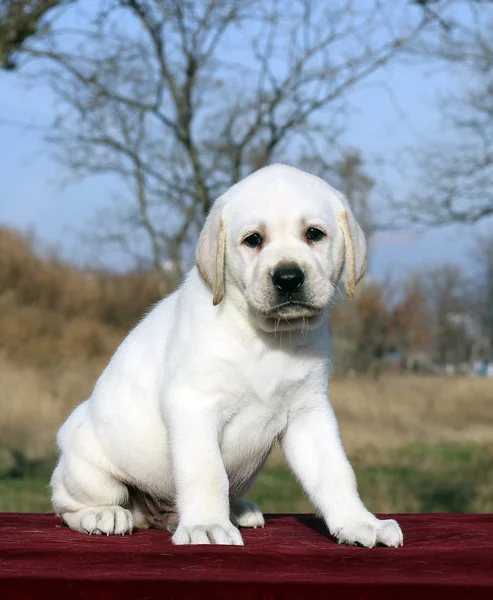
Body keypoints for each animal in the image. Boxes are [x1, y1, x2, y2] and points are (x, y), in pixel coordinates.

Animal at [50, 164, 404, 548]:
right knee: (66, 504)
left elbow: (336, 471)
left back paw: (236, 510)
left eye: (314, 234)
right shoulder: (193, 404)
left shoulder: (309, 412)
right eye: (253, 240)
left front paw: (359, 522)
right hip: (89, 468)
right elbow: (207, 472)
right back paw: (104, 514)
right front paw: (206, 525)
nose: (288, 277)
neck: (268, 338)